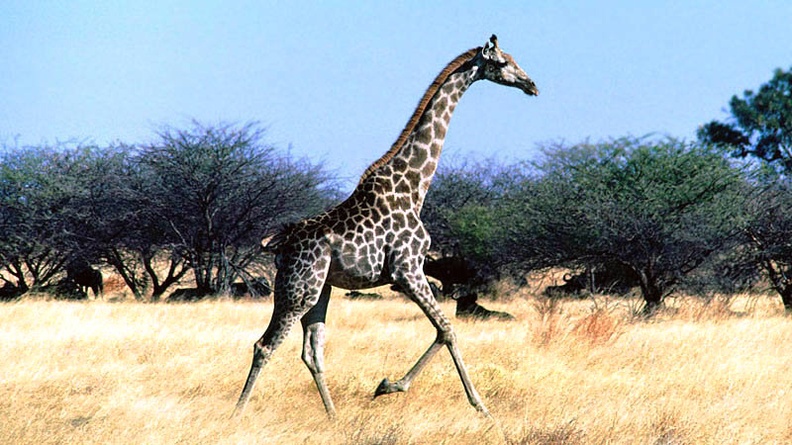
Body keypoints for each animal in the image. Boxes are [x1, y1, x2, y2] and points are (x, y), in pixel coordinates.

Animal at [235, 35, 538, 418]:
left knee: (312, 351)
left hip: (319, 289)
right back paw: (236, 414)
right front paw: (476, 406)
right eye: (501, 62)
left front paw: (388, 386)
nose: (532, 85)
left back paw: (334, 417)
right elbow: (447, 330)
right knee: (265, 345)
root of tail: (278, 243)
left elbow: (443, 330)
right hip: (298, 289)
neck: (413, 187)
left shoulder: (409, 273)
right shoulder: (407, 270)